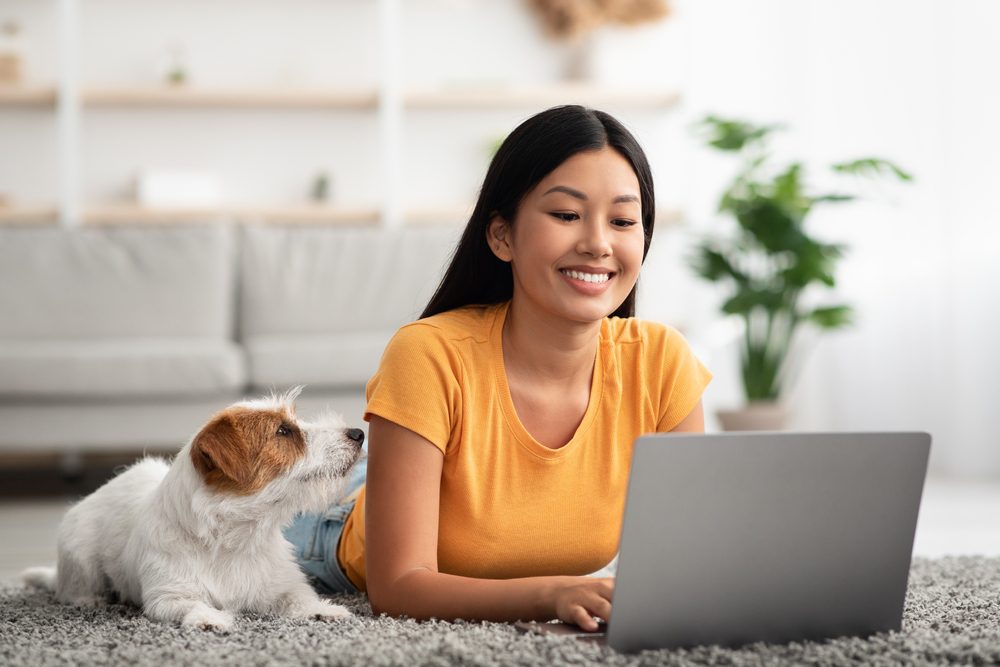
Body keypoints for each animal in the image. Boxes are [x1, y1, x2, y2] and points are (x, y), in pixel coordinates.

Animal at [21, 386, 364, 632]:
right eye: (283, 431)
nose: (358, 433)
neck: (237, 537)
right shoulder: (169, 595)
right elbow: (192, 604)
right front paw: (209, 619)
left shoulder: (283, 583)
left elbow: (299, 596)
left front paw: (323, 609)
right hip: (80, 556)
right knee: (72, 588)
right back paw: (90, 599)